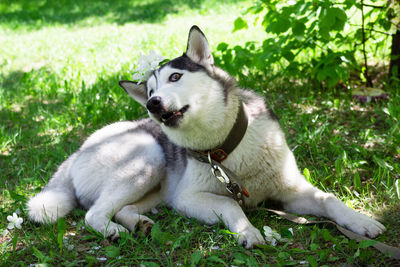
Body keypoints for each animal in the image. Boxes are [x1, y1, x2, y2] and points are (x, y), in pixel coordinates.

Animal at [27, 25, 384, 249]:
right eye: (151, 91)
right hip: (148, 158)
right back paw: (114, 231)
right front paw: (248, 231)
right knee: (94, 213)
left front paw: (362, 222)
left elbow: (329, 199)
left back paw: (138, 223)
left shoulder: (291, 190)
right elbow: (229, 205)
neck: (228, 148)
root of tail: (78, 151)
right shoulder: (188, 198)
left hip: (156, 189)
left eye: (175, 77)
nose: (153, 104)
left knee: (121, 207)